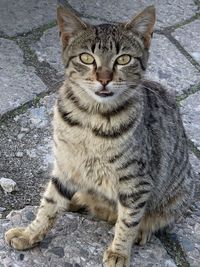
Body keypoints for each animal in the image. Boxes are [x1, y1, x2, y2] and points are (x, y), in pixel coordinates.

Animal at [5, 4, 195, 267]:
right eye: (86, 58)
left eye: (123, 59)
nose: (104, 79)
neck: (90, 120)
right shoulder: (65, 164)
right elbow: (48, 205)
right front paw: (29, 233)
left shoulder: (136, 182)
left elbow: (128, 221)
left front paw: (119, 252)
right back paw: (78, 200)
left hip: (177, 194)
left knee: (151, 218)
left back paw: (141, 229)